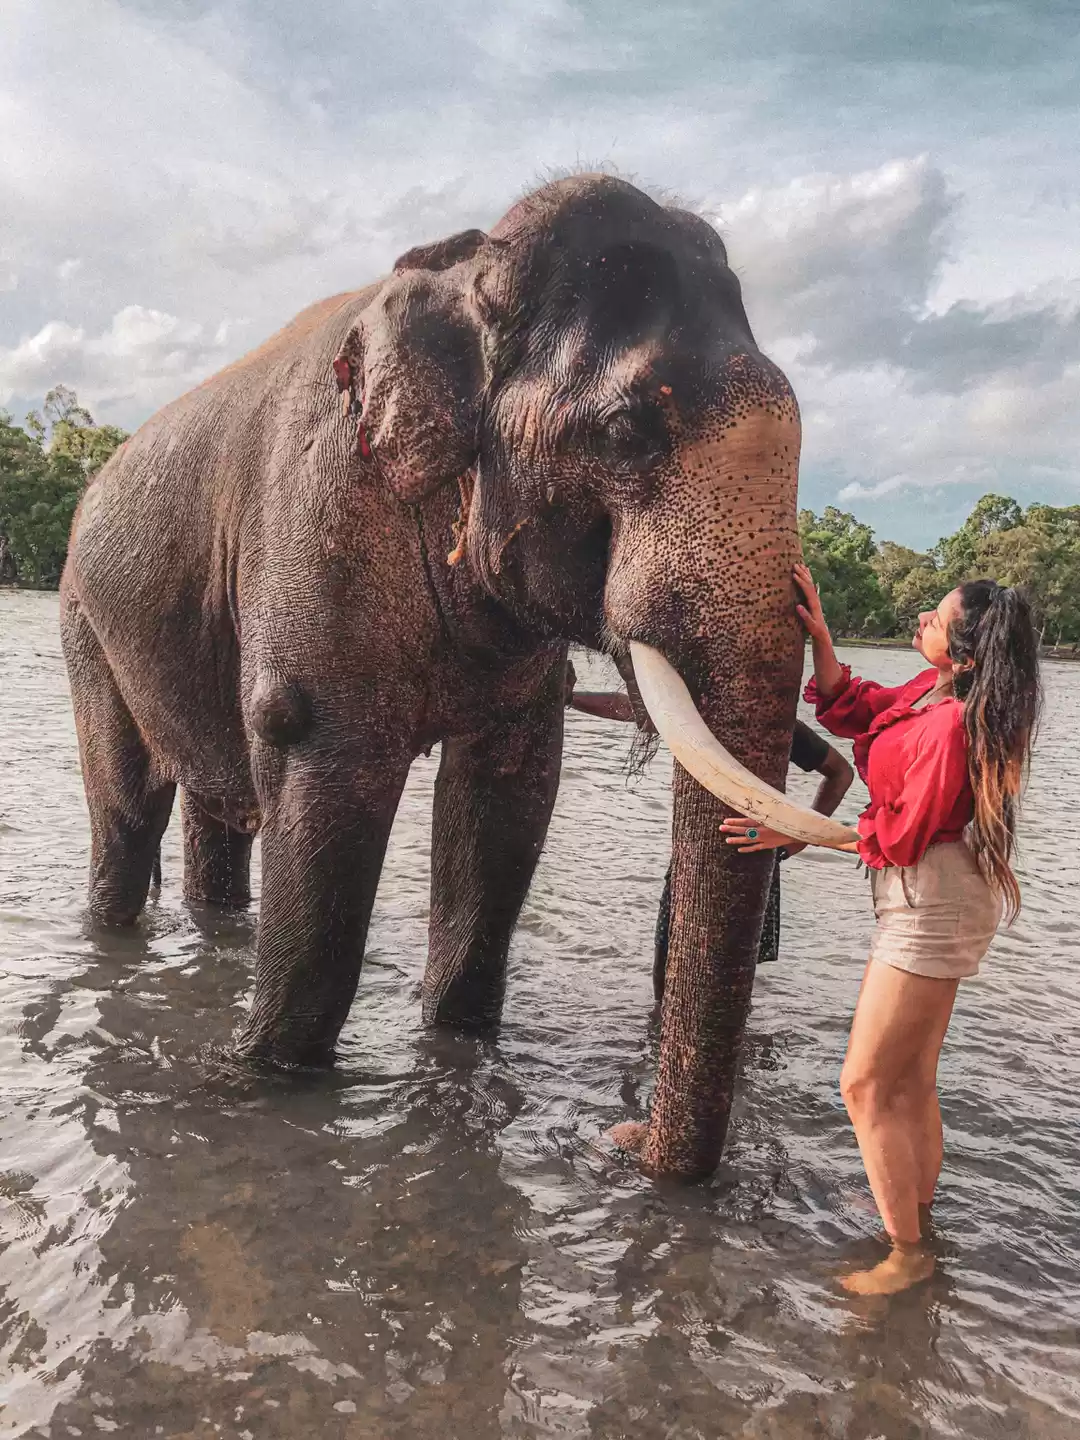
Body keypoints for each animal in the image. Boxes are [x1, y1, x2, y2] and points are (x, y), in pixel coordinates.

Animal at [60, 173, 849, 1180]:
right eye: (627, 430)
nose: (624, 1139)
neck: (467, 272)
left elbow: (508, 797)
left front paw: (458, 1044)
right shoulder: (318, 529)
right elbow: (325, 774)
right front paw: (261, 1082)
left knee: (219, 807)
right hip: (85, 621)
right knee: (127, 810)